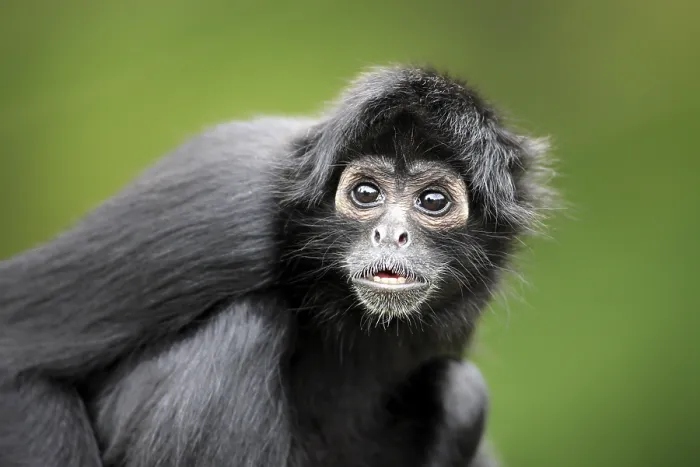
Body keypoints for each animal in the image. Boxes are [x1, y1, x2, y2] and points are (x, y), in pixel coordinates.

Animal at [0, 65, 552, 467]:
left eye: (433, 201)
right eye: (365, 194)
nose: (391, 234)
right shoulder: (230, 211)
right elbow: (19, 361)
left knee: (463, 396)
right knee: (247, 326)